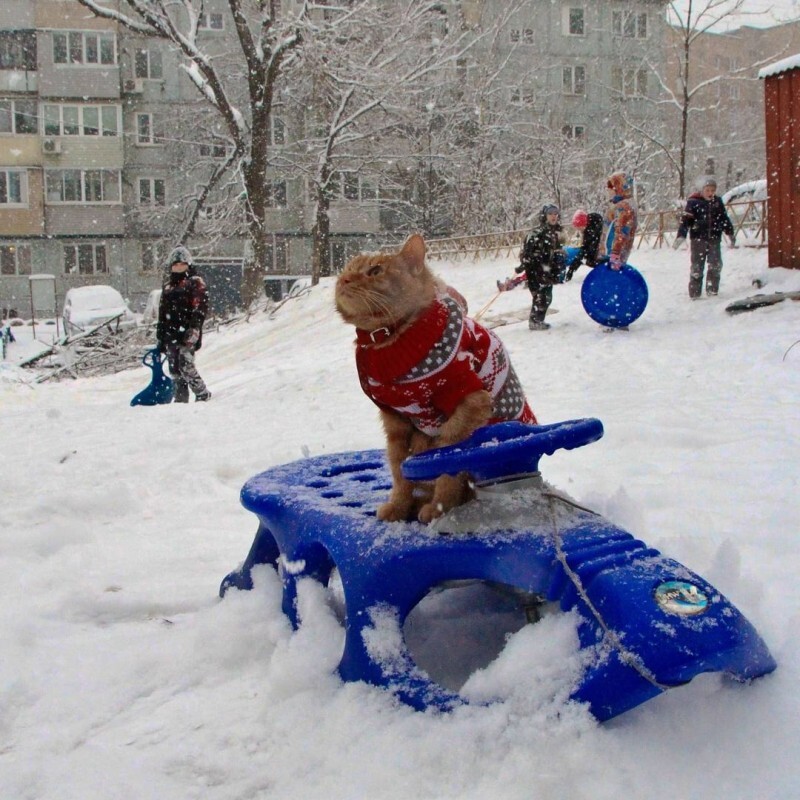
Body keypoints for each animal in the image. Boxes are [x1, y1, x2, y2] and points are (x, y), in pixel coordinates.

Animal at [334, 234, 536, 520]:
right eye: (346, 270)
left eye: (374, 271)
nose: (343, 280)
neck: (390, 341)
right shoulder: (395, 421)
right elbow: (400, 471)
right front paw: (398, 506)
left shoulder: (467, 404)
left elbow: (447, 468)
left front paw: (440, 507)